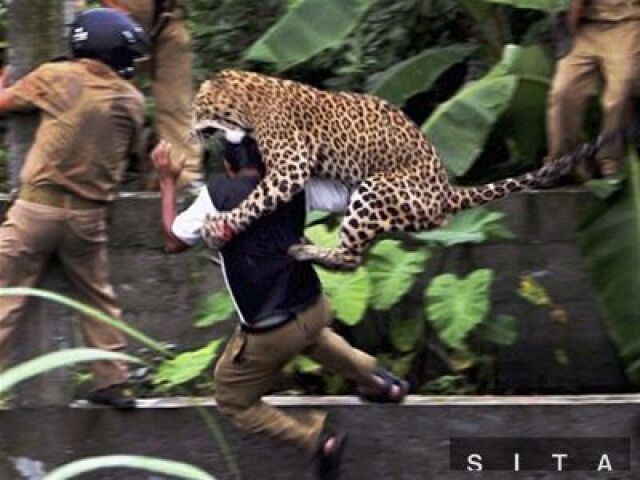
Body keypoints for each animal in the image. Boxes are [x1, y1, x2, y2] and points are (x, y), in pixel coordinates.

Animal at [193, 69, 601, 270]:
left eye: (198, 107)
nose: (191, 129)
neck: (249, 101)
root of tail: (446, 190)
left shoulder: (290, 167)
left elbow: (254, 199)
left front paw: (217, 226)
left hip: (375, 189)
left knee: (351, 258)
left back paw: (306, 251)